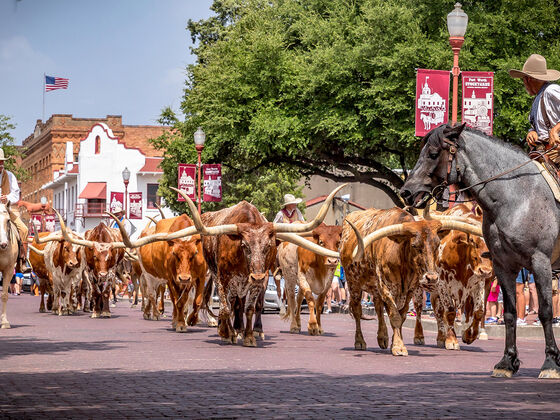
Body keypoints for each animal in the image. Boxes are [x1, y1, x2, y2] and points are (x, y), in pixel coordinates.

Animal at [400, 123, 560, 378]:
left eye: (433, 154)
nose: (405, 192)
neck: (518, 198)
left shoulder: (540, 262)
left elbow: (546, 311)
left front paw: (551, 363)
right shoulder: (503, 266)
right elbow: (509, 313)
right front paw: (507, 362)